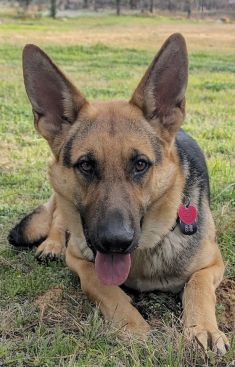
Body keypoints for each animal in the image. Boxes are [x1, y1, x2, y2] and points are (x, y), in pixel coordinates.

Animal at [9, 34, 229, 356]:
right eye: (86, 165)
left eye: (140, 164)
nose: (115, 242)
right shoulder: (78, 259)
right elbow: (100, 284)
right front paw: (132, 325)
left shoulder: (213, 264)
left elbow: (197, 285)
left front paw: (203, 328)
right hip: (63, 204)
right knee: (58, 221)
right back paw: (51, 244)